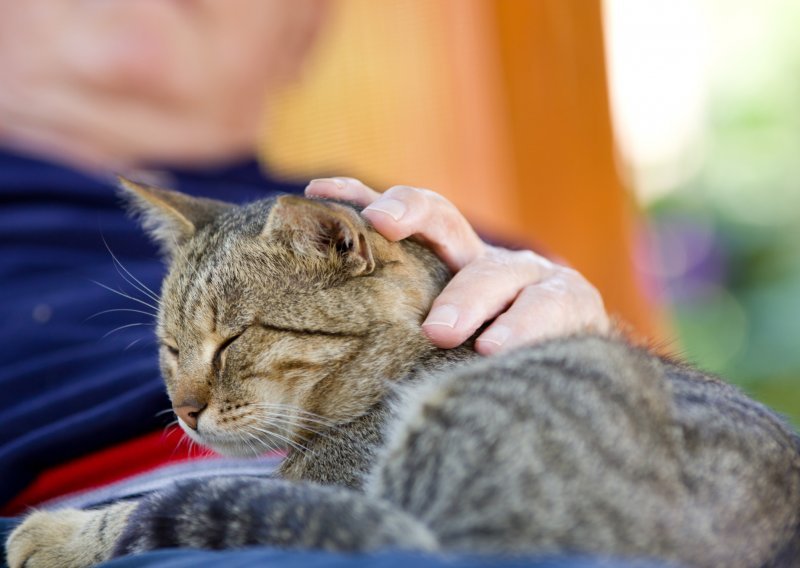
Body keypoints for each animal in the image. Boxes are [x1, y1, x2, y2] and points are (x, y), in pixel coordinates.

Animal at [6, 179, 800, 568]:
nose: (183, 408)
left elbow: (147, 508)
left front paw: (53, 535)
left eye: (232, 339)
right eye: (170, 348)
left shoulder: (335, 487)